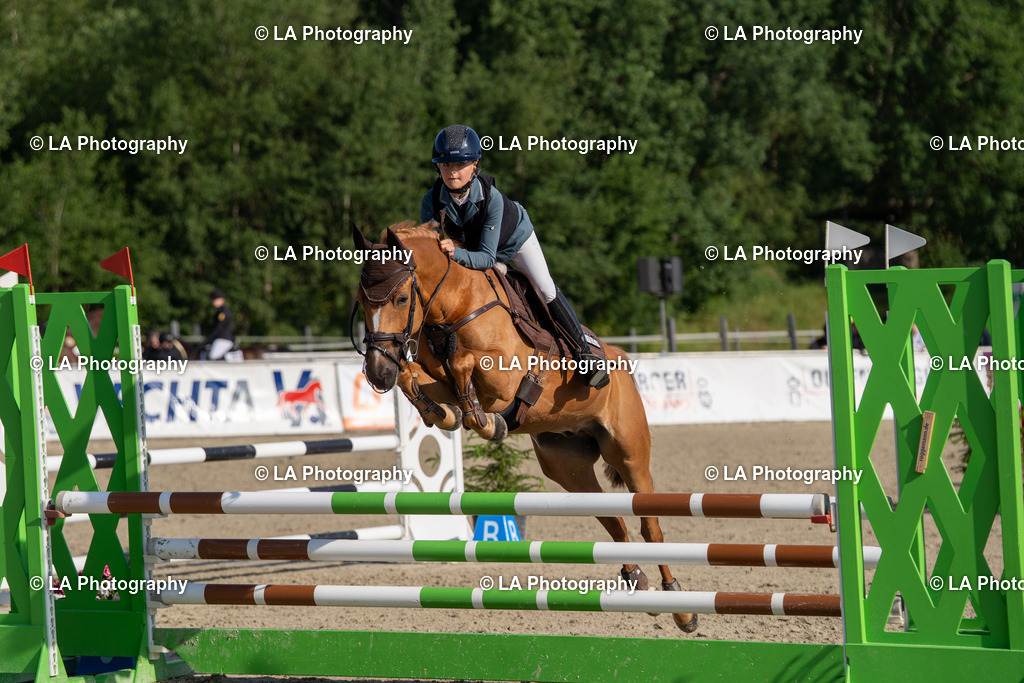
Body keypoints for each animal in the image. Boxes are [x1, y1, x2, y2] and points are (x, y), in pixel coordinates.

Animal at [353, 221, 697, 633]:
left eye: (402, 298)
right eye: (362, 299)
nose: (377, 372)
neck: (455, 307)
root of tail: (621, 358)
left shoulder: (504, 377)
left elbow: (464, 362)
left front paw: (486, 422)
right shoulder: (436, 377)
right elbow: (415, 377)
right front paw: (447, 414)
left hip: (629, 453)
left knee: (650, 525)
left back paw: (682, 608)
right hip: (568, 469)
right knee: (613, 521)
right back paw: (637, 581)